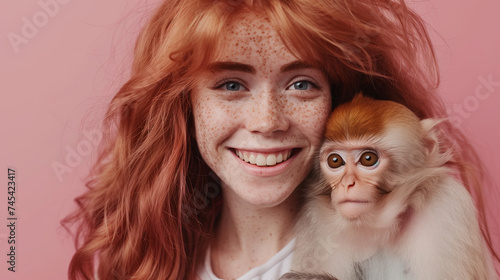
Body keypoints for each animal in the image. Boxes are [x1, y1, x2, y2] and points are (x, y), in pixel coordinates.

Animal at [282, 94, 496, 280]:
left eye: (368, 159)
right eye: (335, 161)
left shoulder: (448, 206)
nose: (347, 183)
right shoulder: (316, 221)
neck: (380, 229)